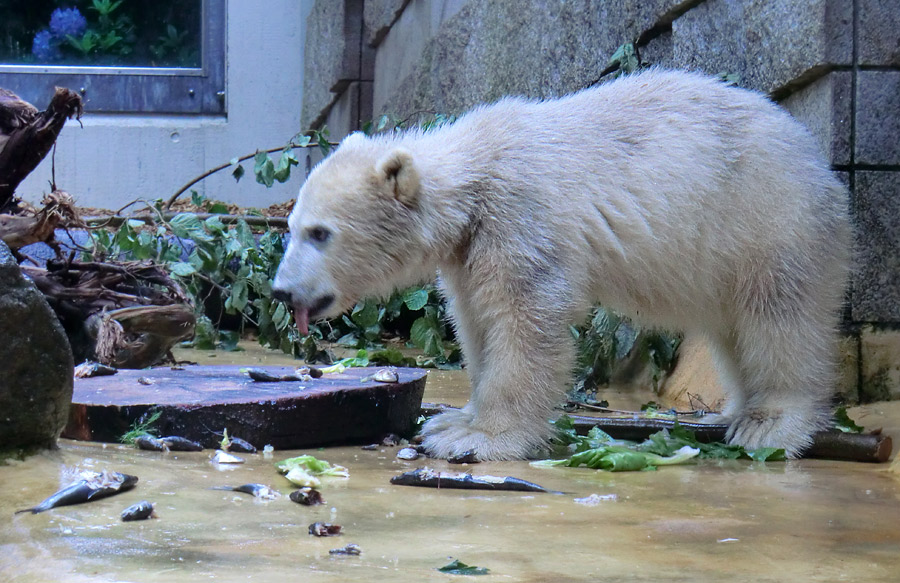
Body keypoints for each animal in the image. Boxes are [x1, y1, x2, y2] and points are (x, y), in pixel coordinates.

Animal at [274, 68, 852, 460]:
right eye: (291, 227)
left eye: (320, 233)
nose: (282, 291)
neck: (473, 177)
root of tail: (816, 159)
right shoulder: (470, 250)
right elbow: (477, 321)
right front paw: (458, 418)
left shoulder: (521, 219)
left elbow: (527, 318)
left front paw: (474, 437)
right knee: (732, 326)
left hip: (765, 218)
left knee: (780, 316)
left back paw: (769, 423)